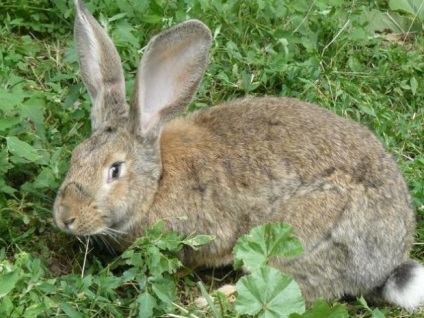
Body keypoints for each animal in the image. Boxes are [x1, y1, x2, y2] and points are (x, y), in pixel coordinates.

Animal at [53, 0, 424, 310]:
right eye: (76, 156)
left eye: (115, 170)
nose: (65, 216)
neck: (156, 183)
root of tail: (385, 264)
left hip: (308, 236)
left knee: (303, 288)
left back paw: (215, 300)